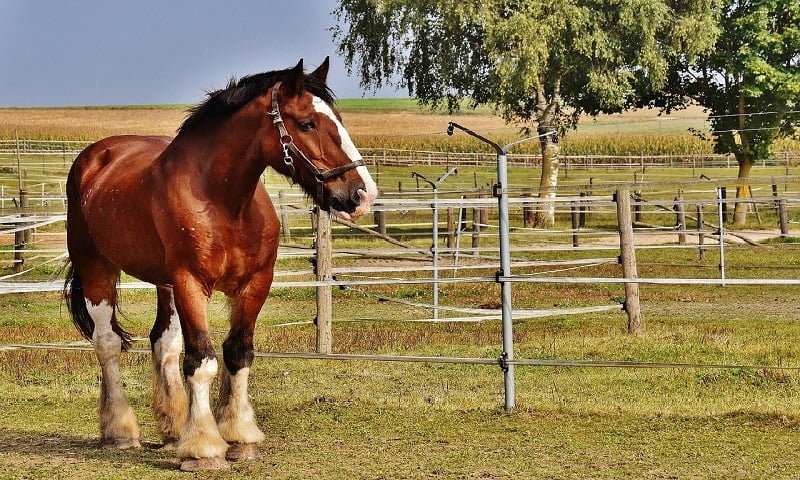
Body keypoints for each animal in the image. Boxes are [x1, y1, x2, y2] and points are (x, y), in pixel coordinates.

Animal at [61, 58, 380, 470]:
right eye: (307, 123)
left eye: (338, 119)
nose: (362, 195)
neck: (224, 203)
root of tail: (96, 157)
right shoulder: (190, 283)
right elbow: (202, 360)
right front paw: (204, 448)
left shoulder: (254, 283)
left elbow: (237, 353)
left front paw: (239, 437)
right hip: (97, 268)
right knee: (108, 344)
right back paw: (120, 431)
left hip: (164, 285)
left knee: (163, 343)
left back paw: (172, 430)